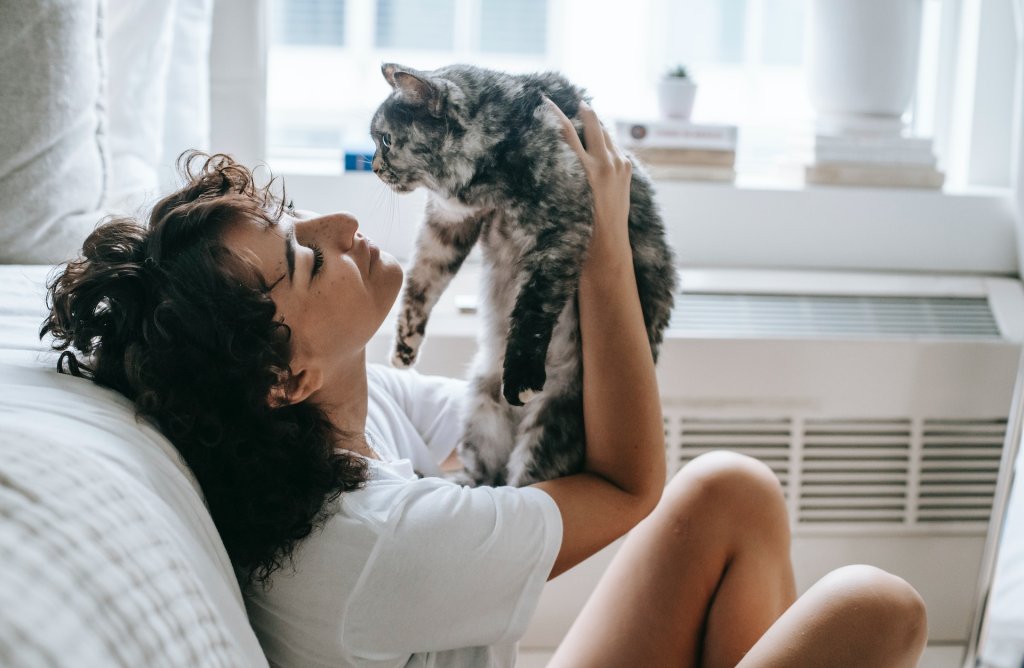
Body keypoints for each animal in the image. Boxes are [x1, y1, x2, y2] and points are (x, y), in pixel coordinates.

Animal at [372, 64, 675, 485]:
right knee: (488, 479)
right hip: (480, 410)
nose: (373, 167)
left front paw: (521, 377)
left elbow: (533, 309)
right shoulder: (446, 224)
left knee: (523, 479)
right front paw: (405, 346)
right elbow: (422, 282)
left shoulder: (562, 231)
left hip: (550, 426)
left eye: (385, 139)